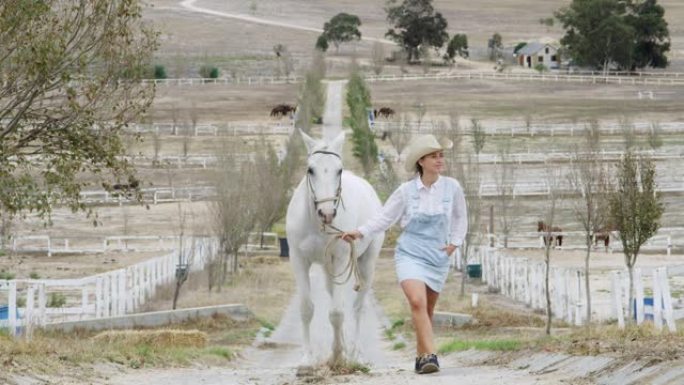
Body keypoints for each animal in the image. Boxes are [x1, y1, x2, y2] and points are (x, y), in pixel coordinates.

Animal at [284, 130, 384, 364]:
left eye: (339, 170)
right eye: (310, 169)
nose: (327, 213)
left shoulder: (340, 260)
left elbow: (337, 312)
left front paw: (337, 355)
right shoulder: (299, 260)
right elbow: (307, 308)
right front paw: (307, 358)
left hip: (366, 264)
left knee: (357, 307)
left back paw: (356, 352)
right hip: (328, 269)